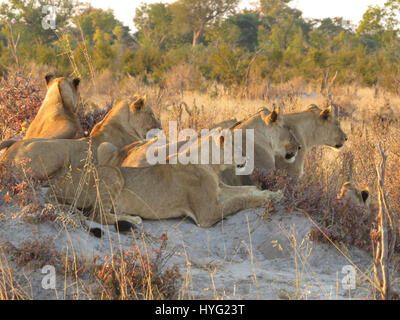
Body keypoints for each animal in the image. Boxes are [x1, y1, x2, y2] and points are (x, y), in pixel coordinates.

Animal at [48, 130, 282, 230]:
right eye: (238, 148)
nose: (246, 158)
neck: (210, 163)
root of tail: (55, 185)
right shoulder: (206, 214)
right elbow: (240, 201)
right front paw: (268, 198)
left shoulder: (219, 190)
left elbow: (247, 190)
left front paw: (271, 192)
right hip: (113, 173)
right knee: (97, 214)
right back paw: (133, 220)